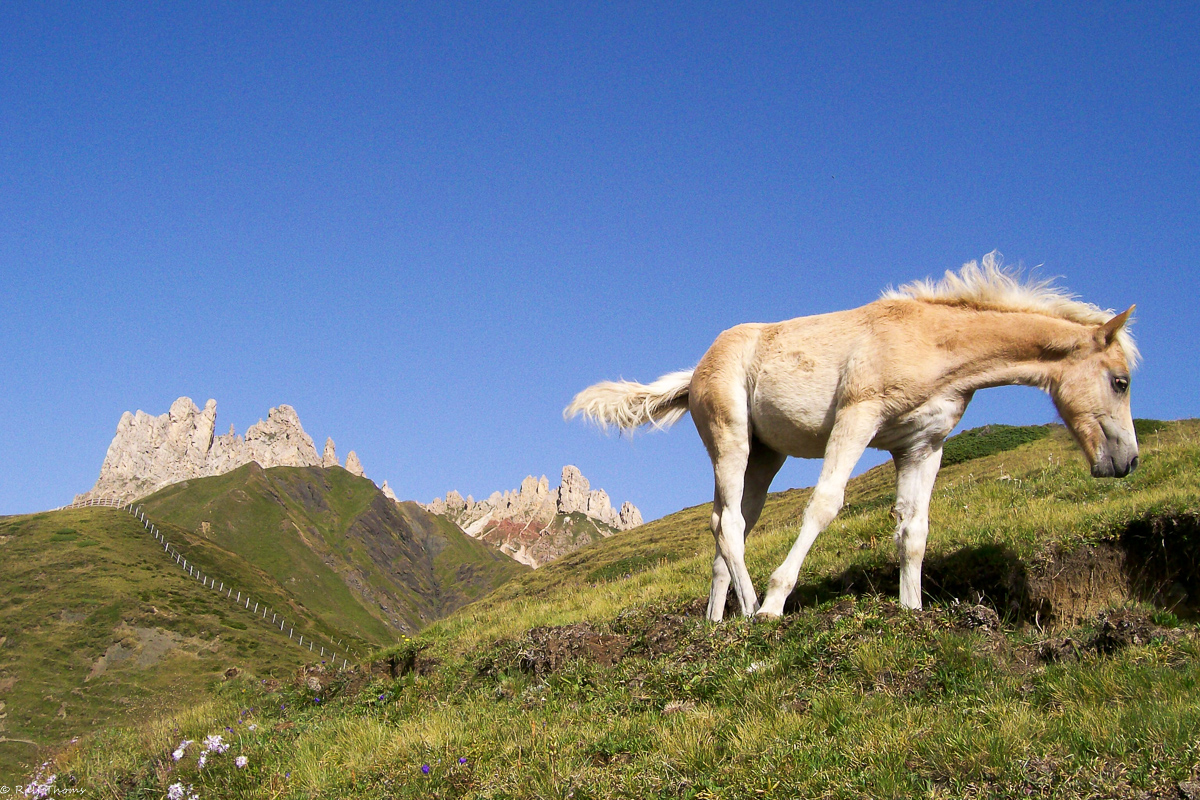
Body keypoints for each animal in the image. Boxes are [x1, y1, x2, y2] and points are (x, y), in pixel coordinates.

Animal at [566, 260, 1137, 623]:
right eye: (1120, 381)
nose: (1126, 462)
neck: (932, 342)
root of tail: (696, 372)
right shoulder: (856, 417)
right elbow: (825, 504)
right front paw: (775, 604)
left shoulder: (922, 447)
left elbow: (914, 530)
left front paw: (911, 610)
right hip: (731, 440)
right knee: (728, 524)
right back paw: (749, 611)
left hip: (766, 457)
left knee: (727, 527)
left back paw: (716, 621)